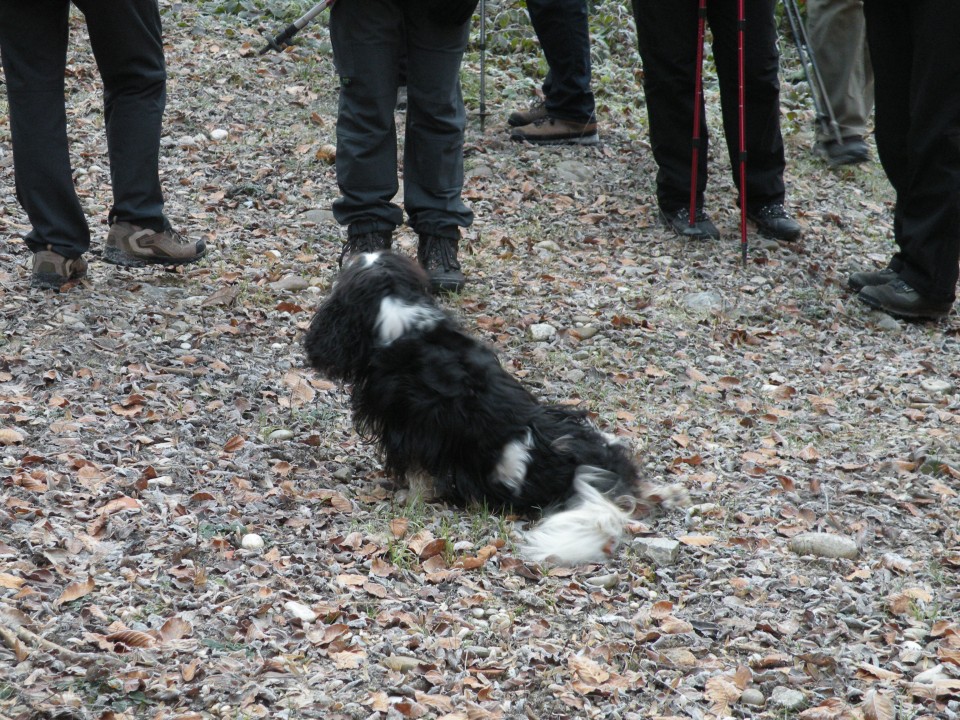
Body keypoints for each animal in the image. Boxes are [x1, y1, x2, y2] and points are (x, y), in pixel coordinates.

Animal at [306, 250, 652, 564]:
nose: (354, 253)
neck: (397, 311)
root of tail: (586, 471)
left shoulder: (410, 426)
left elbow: (416, 468)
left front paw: (410, 495)